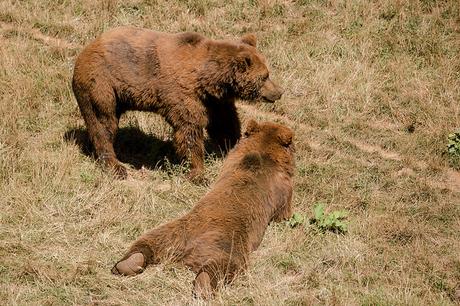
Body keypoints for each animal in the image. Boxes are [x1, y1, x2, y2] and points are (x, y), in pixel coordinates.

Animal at [71, 26, 284, 179]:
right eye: (265, 76)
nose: (279, 92)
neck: (208, 79)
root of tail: (81, 54)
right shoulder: (183, 94)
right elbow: (189, 130)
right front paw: (198, 173)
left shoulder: (214, 100)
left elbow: (224, 124)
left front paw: (233, 147)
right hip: (101, 84)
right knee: (103, 122)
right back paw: (115, 166)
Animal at [111, 120, 294, 298]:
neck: (262, 153)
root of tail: (187, 251)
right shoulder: (282, 188)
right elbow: (284, 211)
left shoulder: (231, 162)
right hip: (230, 243)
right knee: (224, 264)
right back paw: (204, 286)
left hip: (176, 231)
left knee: (149, 240)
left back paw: (128, 263)